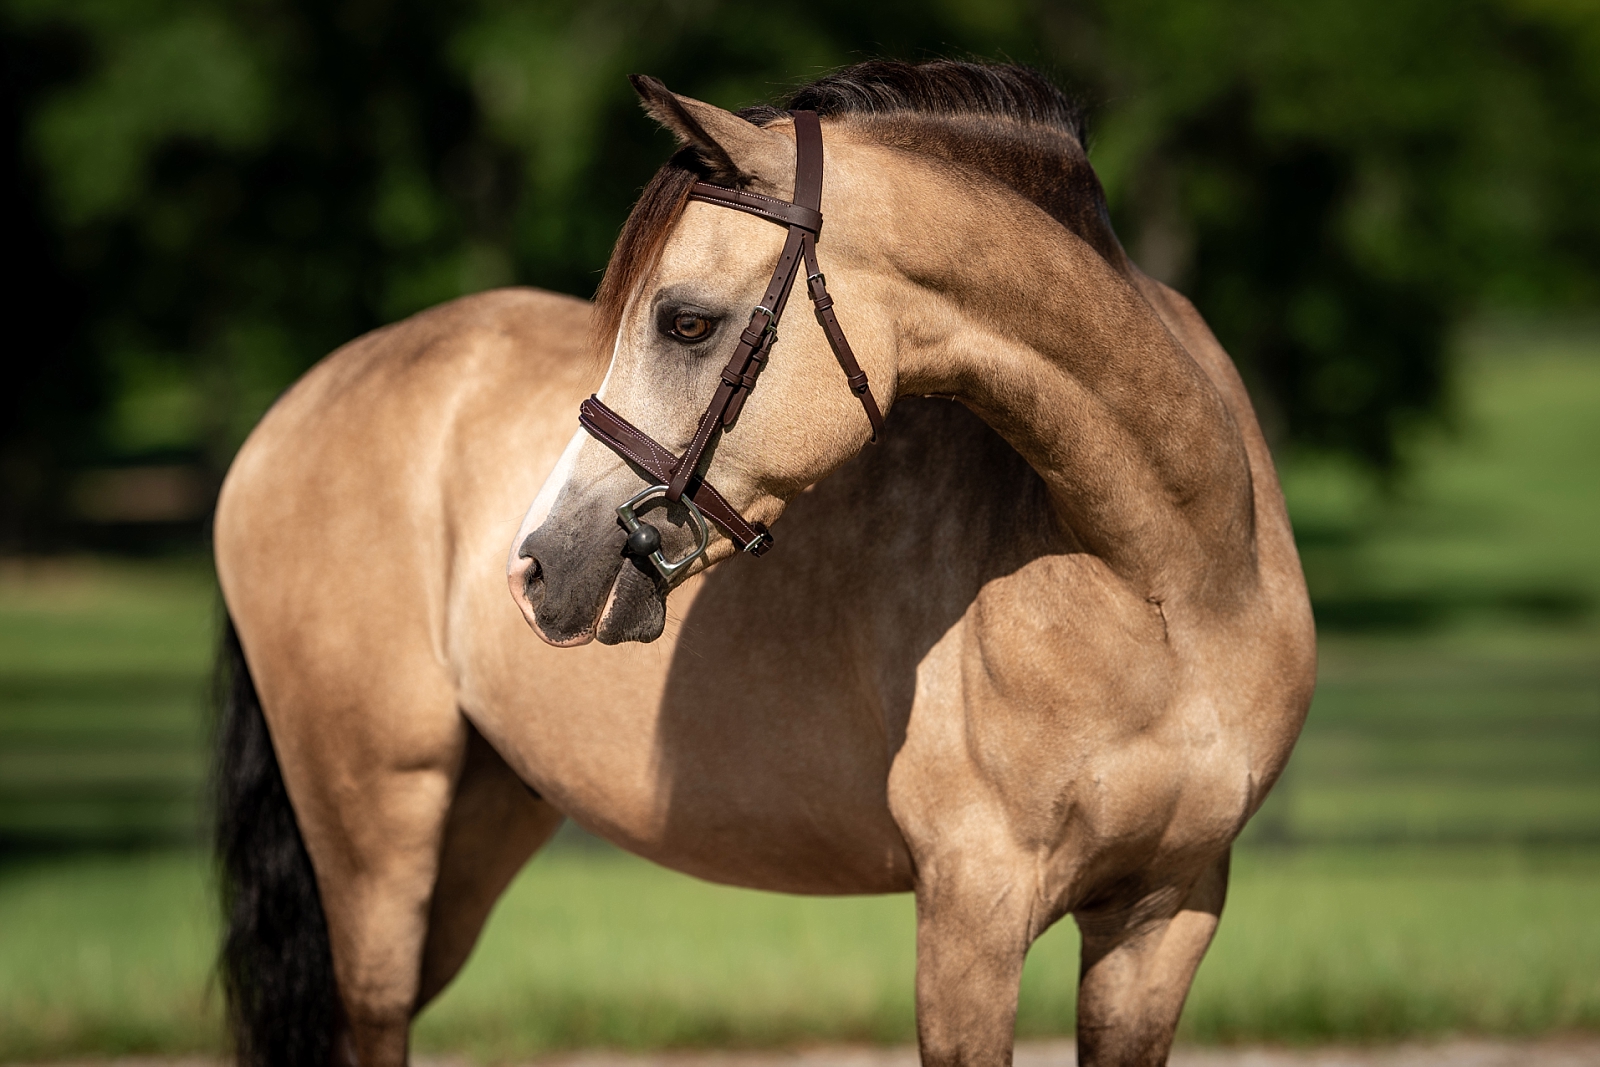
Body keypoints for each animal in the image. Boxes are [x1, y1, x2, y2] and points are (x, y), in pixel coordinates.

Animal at [212, 60, 1315, 1067]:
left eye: (685, 320)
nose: (537, 565)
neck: (1167, 577)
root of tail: (288, 414)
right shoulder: (972, 910)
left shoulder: (1163, 915)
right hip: (375, 827)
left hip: (474, 829)